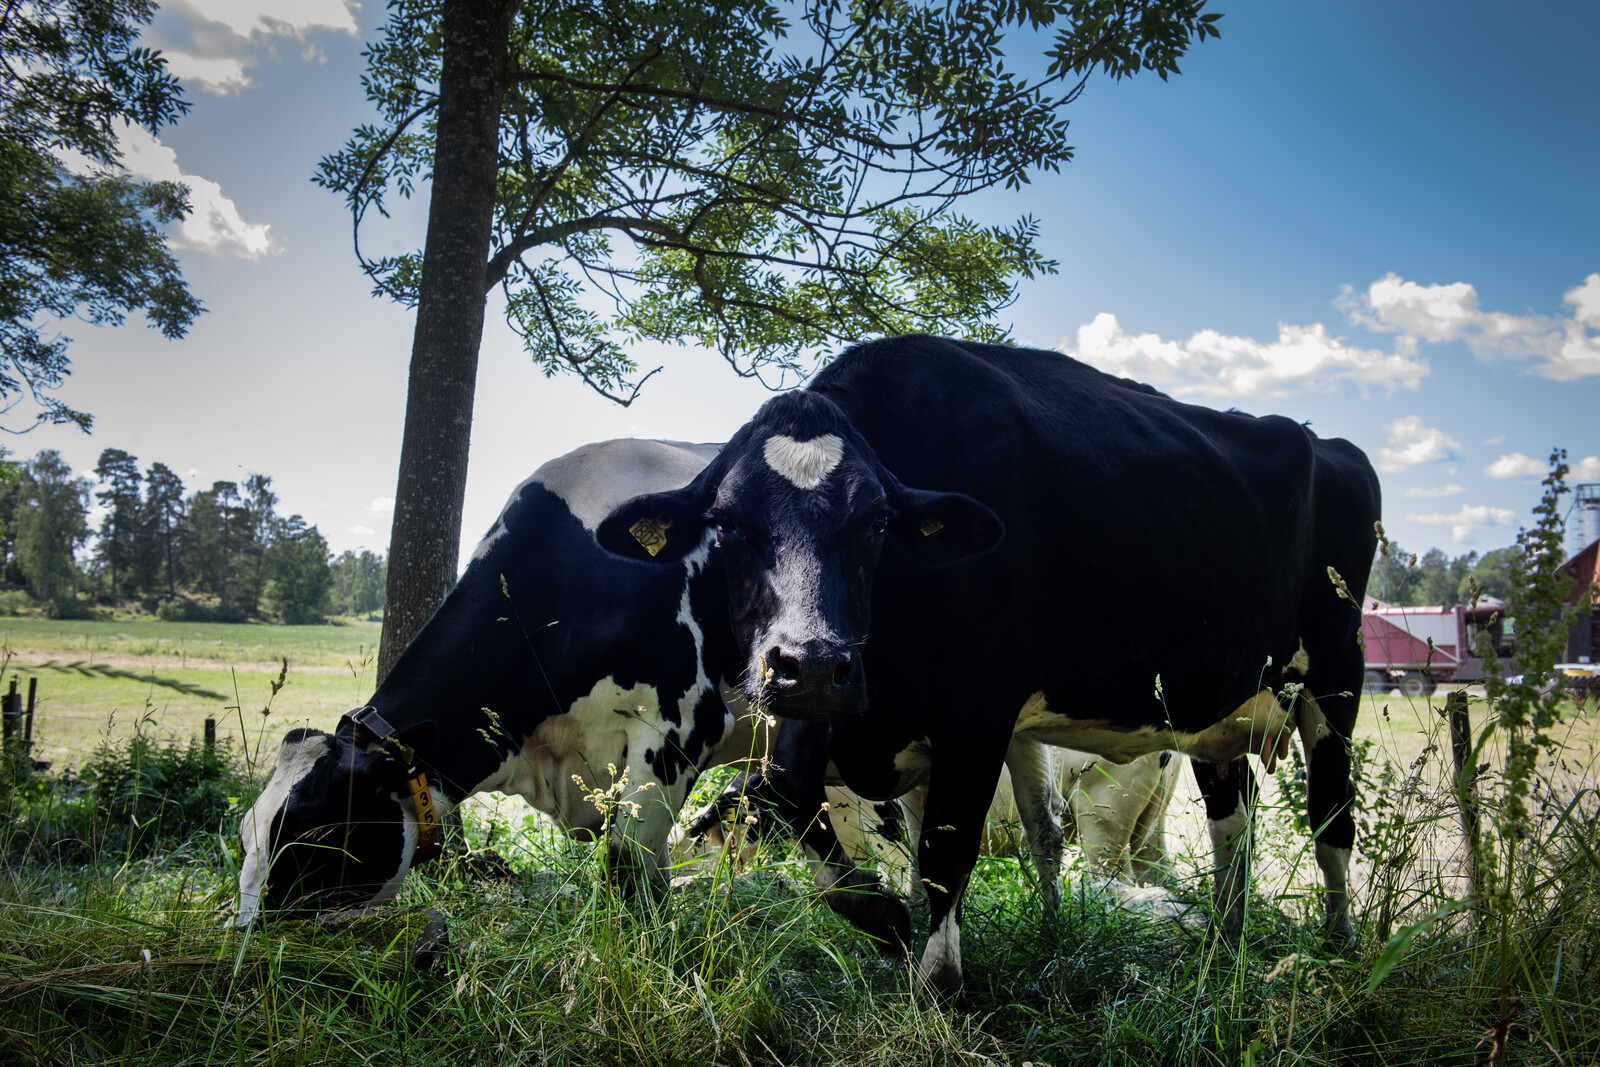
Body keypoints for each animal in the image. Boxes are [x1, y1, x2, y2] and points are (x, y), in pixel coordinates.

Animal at [596, 334, 1381, 1004]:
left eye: (878, 522)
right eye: (726, 524)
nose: (811, 663)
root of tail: (1325, 440)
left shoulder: (976, 709)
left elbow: (945, 852)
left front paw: (939, 985)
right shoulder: (833, 715)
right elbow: (787, 793)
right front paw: (888, 920)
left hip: (1336, 671)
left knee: (1331, 817)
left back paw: (1338, 947)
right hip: (1217, 711)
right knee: (1231, 826)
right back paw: (1226, 942)